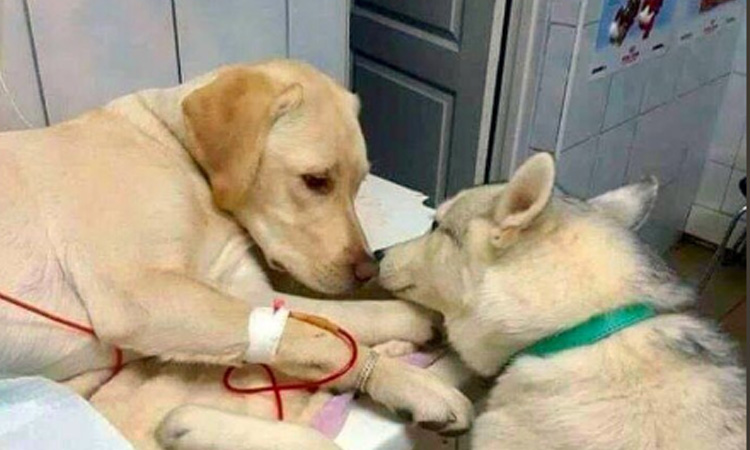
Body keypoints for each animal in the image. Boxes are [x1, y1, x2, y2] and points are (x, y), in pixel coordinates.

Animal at [0, 60, 470, 450]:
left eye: (360, 183)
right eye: (316, 181)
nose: (367, 269)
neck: (183, 159)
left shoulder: (244, 293)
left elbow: (345, 322)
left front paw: (418, 320)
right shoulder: (143, 296)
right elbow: (321, 337)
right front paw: (418, 385)